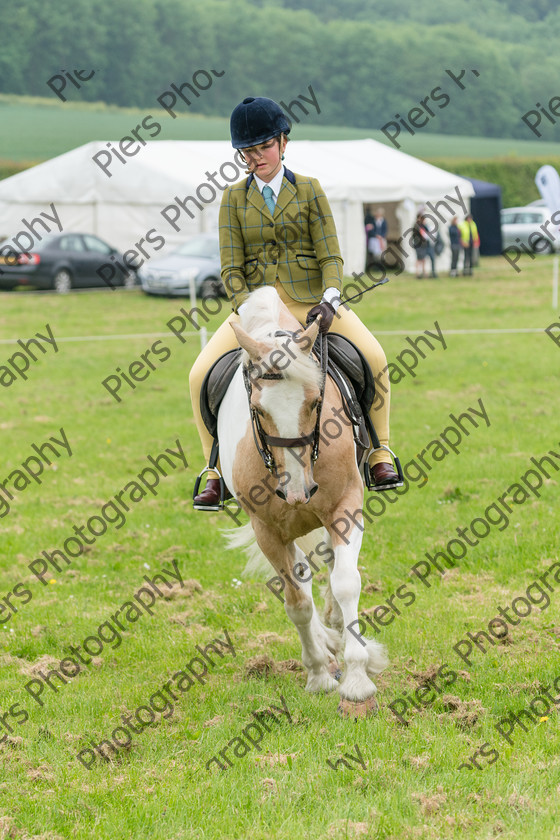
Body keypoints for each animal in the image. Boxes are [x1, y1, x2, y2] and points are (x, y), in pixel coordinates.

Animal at [217, 288, 388, 716]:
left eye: (314, 402)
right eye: (258, 410)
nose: (298, 493)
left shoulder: (345, 507)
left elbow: (346, 582)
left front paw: (358, 680)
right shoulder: (267, 530)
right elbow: (296, 602)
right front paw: (318, 675)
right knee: (304, 579)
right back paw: (326, 648)